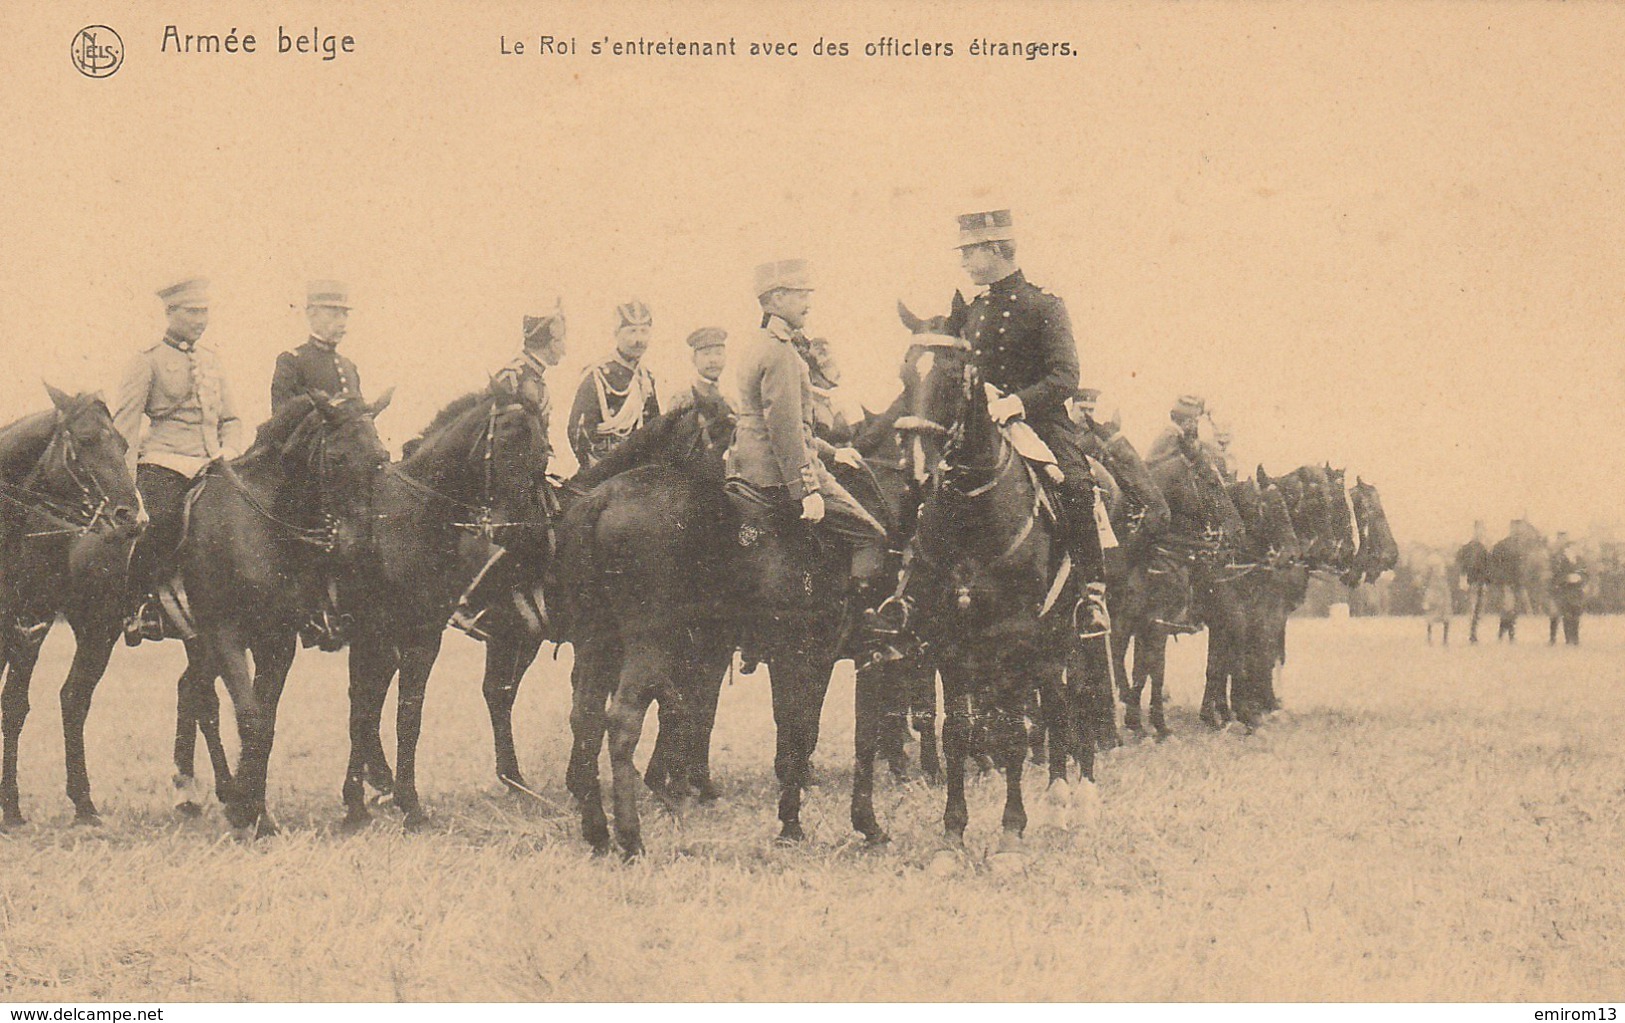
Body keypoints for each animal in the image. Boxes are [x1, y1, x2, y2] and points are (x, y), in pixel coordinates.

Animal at [0, 388, 144, 831]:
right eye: (84, 440)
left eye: (123, 443)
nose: (131, 517)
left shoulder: (30, 624)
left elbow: (14, 706)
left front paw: (10, 807)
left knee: (72, 698)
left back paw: (83, 802)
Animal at [174, 392, 393, 831]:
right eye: (337, 458)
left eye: (381, 458)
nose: (361, 548)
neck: (261, 528)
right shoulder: (225, 634)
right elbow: (251, 717)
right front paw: (248, 811)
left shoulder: (276, 640)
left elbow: (268, 721)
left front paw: (254, 808)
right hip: (200, 641)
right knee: (202, 700)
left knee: (193, 691)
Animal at [336, 384, 552, 831]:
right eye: (506, 444)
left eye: (544, 454)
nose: (536, 537)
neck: (405, 522)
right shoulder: (380, 636)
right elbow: (373, 710)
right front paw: (377, 804)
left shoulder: (419, 637)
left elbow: (400, 714)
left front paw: (395, 802)